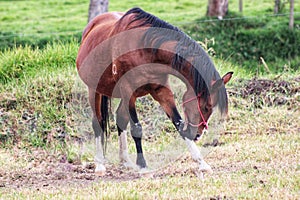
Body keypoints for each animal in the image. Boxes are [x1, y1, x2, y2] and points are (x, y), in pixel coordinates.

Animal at [76, 7, 233, 177]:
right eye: (206, 107)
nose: (197, 135)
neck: (147, 49)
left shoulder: (161, 91)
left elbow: (178, 123)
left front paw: (202, 163)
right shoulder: (128, 91)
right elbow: (137, 129)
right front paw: (143, 166)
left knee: (120, 119)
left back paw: (126, 161)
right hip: (95, 91)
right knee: (98, 123)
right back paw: (100, 164)